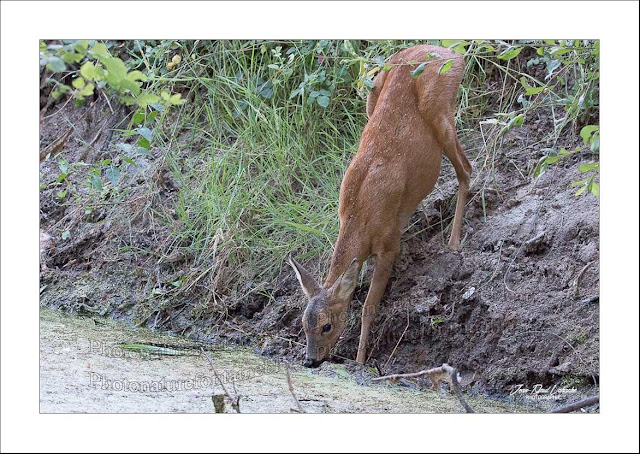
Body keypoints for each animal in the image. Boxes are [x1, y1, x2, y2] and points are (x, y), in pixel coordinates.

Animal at [288, 43, 470, 368]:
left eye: (327, 325)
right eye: (303, 324)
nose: (310, 361)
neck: (359, 217)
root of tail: (451, 52)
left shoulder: (389, 243)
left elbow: (368, 307)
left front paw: (360, 360)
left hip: (439, 109)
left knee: (466, 170)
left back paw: (453, 242)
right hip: (372, 93)